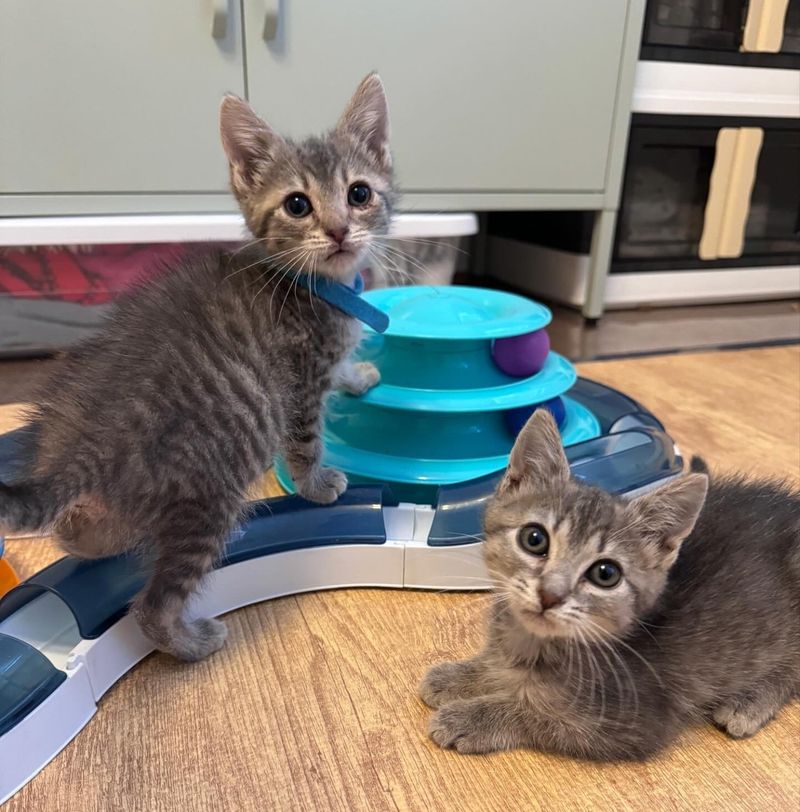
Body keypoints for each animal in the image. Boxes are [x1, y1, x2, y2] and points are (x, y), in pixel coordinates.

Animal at [0, 74, 396, 660]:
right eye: (297, 204)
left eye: (360, 194)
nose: (340, 230)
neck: (317, 284)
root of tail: (83, 444)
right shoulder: (301, 379)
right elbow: (305, 440)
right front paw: (316, 484)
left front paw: (360, 373)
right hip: (210, 489)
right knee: (154, 603)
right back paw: (190, 642)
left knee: (75, 531)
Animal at [422, 412, 796, 760]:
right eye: (534, 539)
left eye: (606, 574)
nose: (550, 595)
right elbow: (498, 668)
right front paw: (462, 675)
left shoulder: (634, 720)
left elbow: (539, 715)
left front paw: (473, 717)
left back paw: (750, 702)